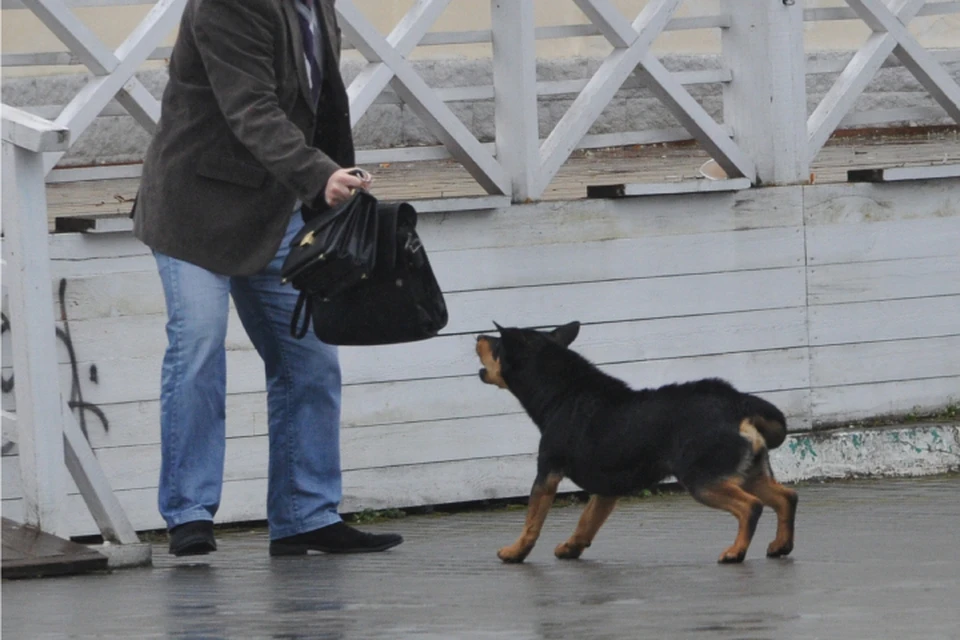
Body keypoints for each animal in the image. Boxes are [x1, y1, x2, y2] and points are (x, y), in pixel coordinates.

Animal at [476, 322, 800, 564]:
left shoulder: (547, 473)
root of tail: (737, 402)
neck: (562, 392)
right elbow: (587, 520)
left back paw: (735, 552)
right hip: (749, 473)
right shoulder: (607, 489)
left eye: (497, 345)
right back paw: (780, 545)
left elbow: (532, 521)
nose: (478, 336)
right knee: (787, 497)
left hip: (703, 480)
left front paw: (515, 552)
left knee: (751, 507)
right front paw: (572, 547)